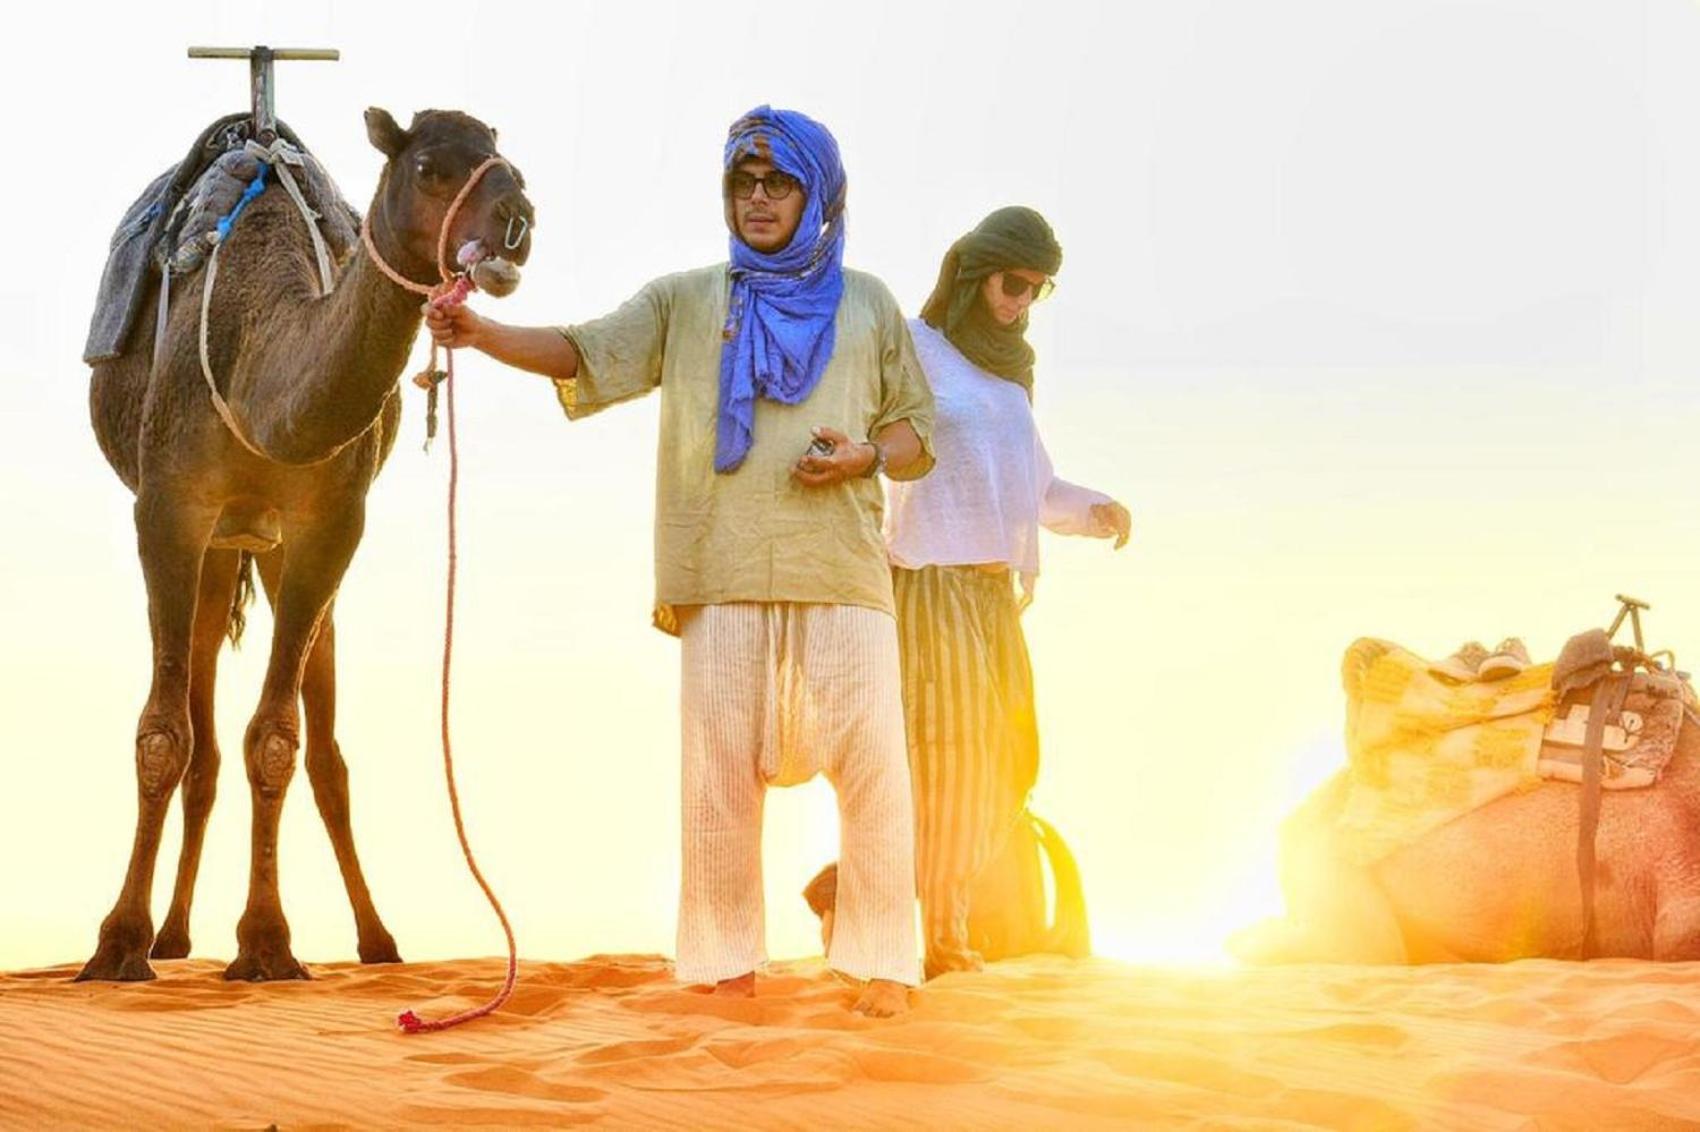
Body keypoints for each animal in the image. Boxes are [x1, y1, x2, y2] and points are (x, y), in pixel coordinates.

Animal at [82, 110, 533, 985]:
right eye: (429, 167)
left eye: (512, 165)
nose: (518, 223)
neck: (257, 370)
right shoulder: (168, 510)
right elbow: (162, 734)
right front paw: (117, 943)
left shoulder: (331, 523)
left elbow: (278, 739)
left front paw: (265, 943)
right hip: (220, 548)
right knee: (200, 737)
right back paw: (169, 937)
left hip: (273, 551)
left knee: (320, 752)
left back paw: (376, 939)